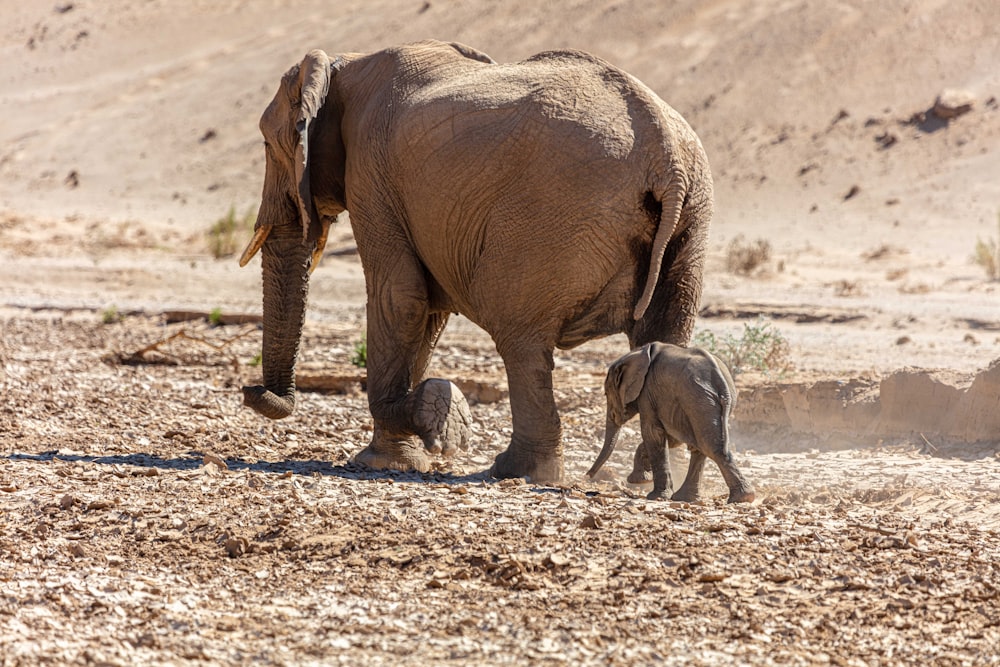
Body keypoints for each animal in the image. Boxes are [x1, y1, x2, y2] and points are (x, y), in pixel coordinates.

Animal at [239, 40, 716, 486]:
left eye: (267, 143)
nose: (251, 390)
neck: (345, 63)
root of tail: (666, 155)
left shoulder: (371, 174)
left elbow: (400, 297)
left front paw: (427, 425)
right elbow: (428, 311)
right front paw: (401, 454)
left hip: (554, 219)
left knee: (518, 334)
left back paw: (516, 470)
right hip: (692, 220)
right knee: (665, 333)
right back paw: (649, 475)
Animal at [584, 342, 752, 504]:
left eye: (606, 393)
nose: (587, 476)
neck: (637, 352)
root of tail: (721, 381)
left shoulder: (647, 392)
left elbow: (653, 433)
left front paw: (654, 494)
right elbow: (671, 438)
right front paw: (641, 480)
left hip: (698, 399)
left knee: (709, 445)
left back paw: (742, 498)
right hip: (704, 401)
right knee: (701, 444)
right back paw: (689, 498)